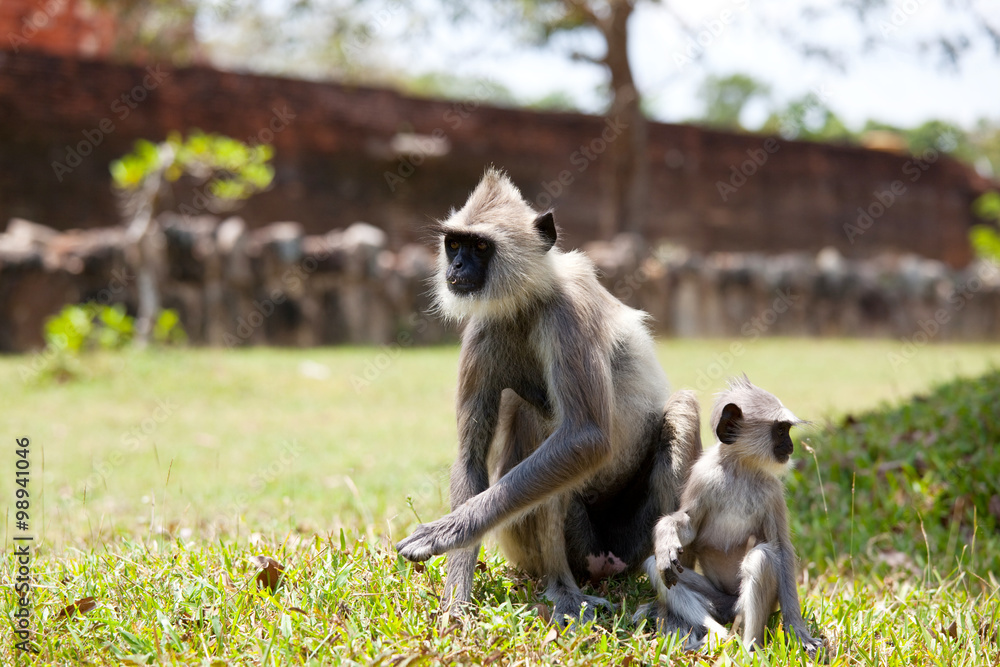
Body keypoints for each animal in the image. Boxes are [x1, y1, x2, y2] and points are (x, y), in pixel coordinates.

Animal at [395, 167, 703, 624]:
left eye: (480, 246)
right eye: (454, 244)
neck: (526, 302)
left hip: (631, 541)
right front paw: (456, 597)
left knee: (673, 410)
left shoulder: (567, 314)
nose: (457, 266)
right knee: (534, 418)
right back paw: (564, 589)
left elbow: (586, 436)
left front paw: (445, 531)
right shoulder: (483, 330)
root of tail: (604, 559)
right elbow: (471, 458)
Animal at [636, 375, 825, 657]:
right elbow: (687, 526)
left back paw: (748, 649)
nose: (790, 446)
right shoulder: (703, 475)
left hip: (746, 606)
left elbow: (781, 549)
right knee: (655, 566)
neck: (739, 469)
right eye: (781, 431)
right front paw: (666, 539)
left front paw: (798, 631)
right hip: (721, 601)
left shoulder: (772, 491)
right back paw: (717, 634)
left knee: (762, 558)